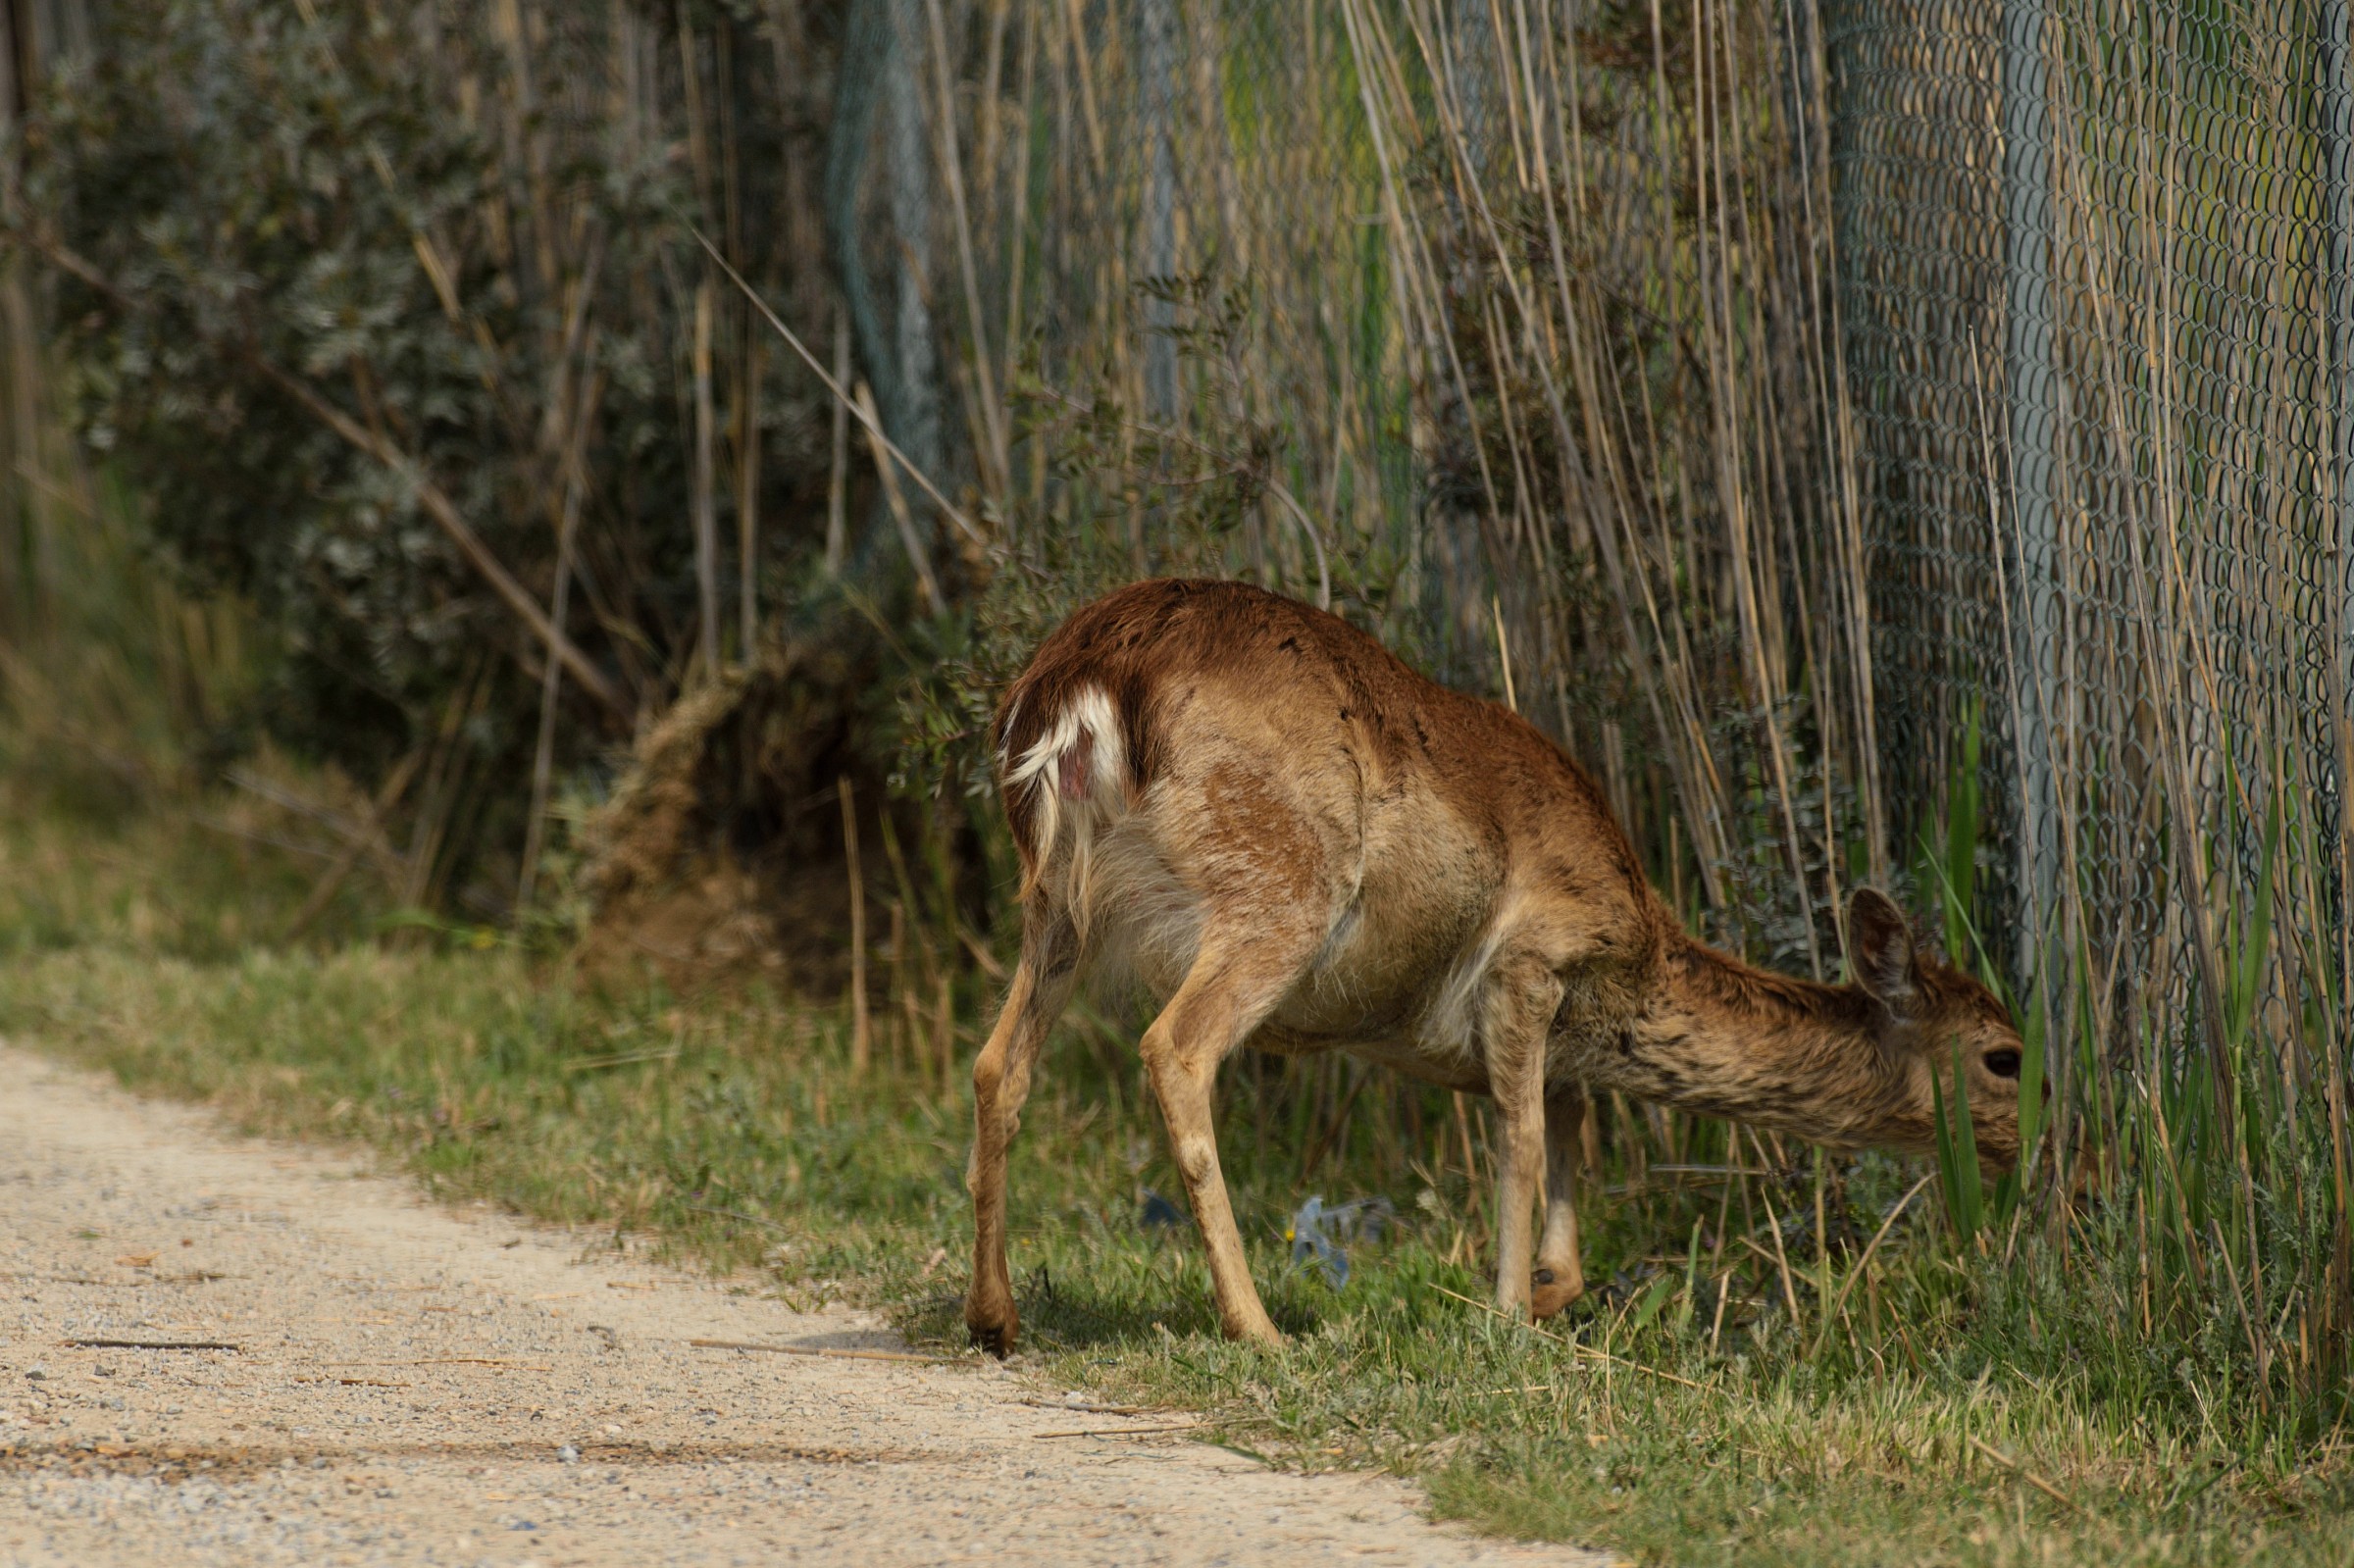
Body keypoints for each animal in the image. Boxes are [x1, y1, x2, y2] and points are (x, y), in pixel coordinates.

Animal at [965, 578, 2027, 1351]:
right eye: (2006, 1055)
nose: (2033, 1145)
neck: (1635, 963)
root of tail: (1079, 686)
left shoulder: (1542, 1045)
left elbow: (1567, 1145)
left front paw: (1543, 1293)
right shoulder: (1531, 961)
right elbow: (1521, 1146)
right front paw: (1509, 1315)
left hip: (1052, 899)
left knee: (995, 1064)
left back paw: (995, 1316)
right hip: (1277, 878)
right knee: (1174, 1048)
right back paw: (1259, 1327)